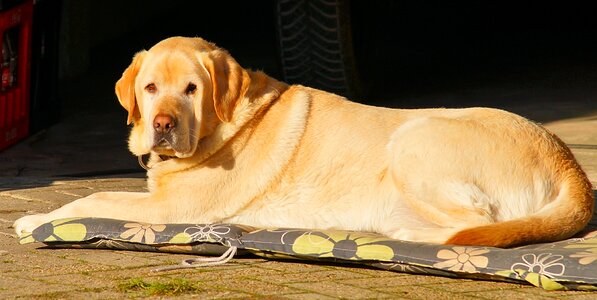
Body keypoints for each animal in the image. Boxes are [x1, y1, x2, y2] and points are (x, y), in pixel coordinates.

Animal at [14, 36, 592, 247]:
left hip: (414, 141)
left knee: (477, 227)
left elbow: (92, 197)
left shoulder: (173, 207)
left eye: (192, 89)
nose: (162, 124)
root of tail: (571, 164)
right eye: (151, 87)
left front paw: (34, 219)